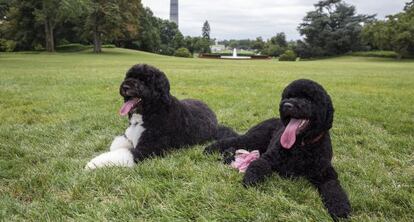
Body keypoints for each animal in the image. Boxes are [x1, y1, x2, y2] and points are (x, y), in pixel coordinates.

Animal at [85, 64, 236, 170]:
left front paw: (93, 163)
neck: (151, 112)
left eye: (144, 81)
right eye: (128, 77)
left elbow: (123, 153)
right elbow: (118, 144)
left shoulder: (149, 149)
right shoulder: (129, 136)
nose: (125, 86)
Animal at [204, 79, 350, 219]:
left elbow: (334, 189)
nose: (287, 105)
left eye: (308, 99)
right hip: (254, 139)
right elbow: (257, 166)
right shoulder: (268, 159)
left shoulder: (325, 173)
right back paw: (210, 149)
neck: (301, 145)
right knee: (233, 141)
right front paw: (251, 180)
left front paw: (340, 207)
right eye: (288, 96)